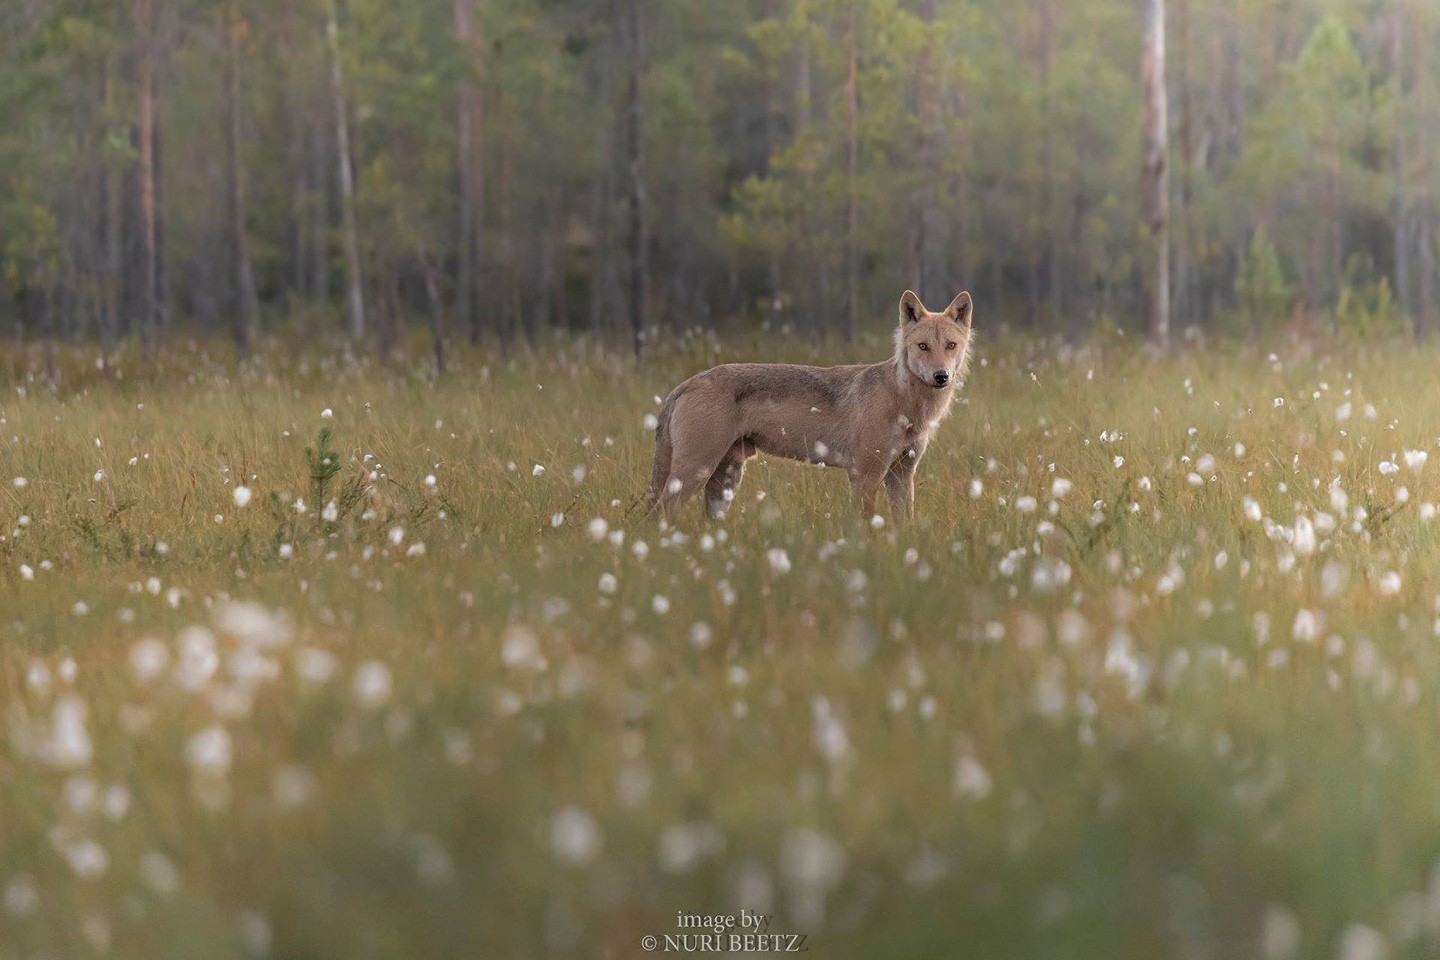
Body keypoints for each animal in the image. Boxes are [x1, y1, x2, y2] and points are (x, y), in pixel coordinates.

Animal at [648, 289, 973, 521]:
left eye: (950, 346)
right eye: (923, 347)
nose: (941, 376)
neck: (908, 405)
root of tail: (684, 384)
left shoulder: (902, 475)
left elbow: (905, 527)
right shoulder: (865, 476)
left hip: (725, 481)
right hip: (695, 474)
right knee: (659, 516)